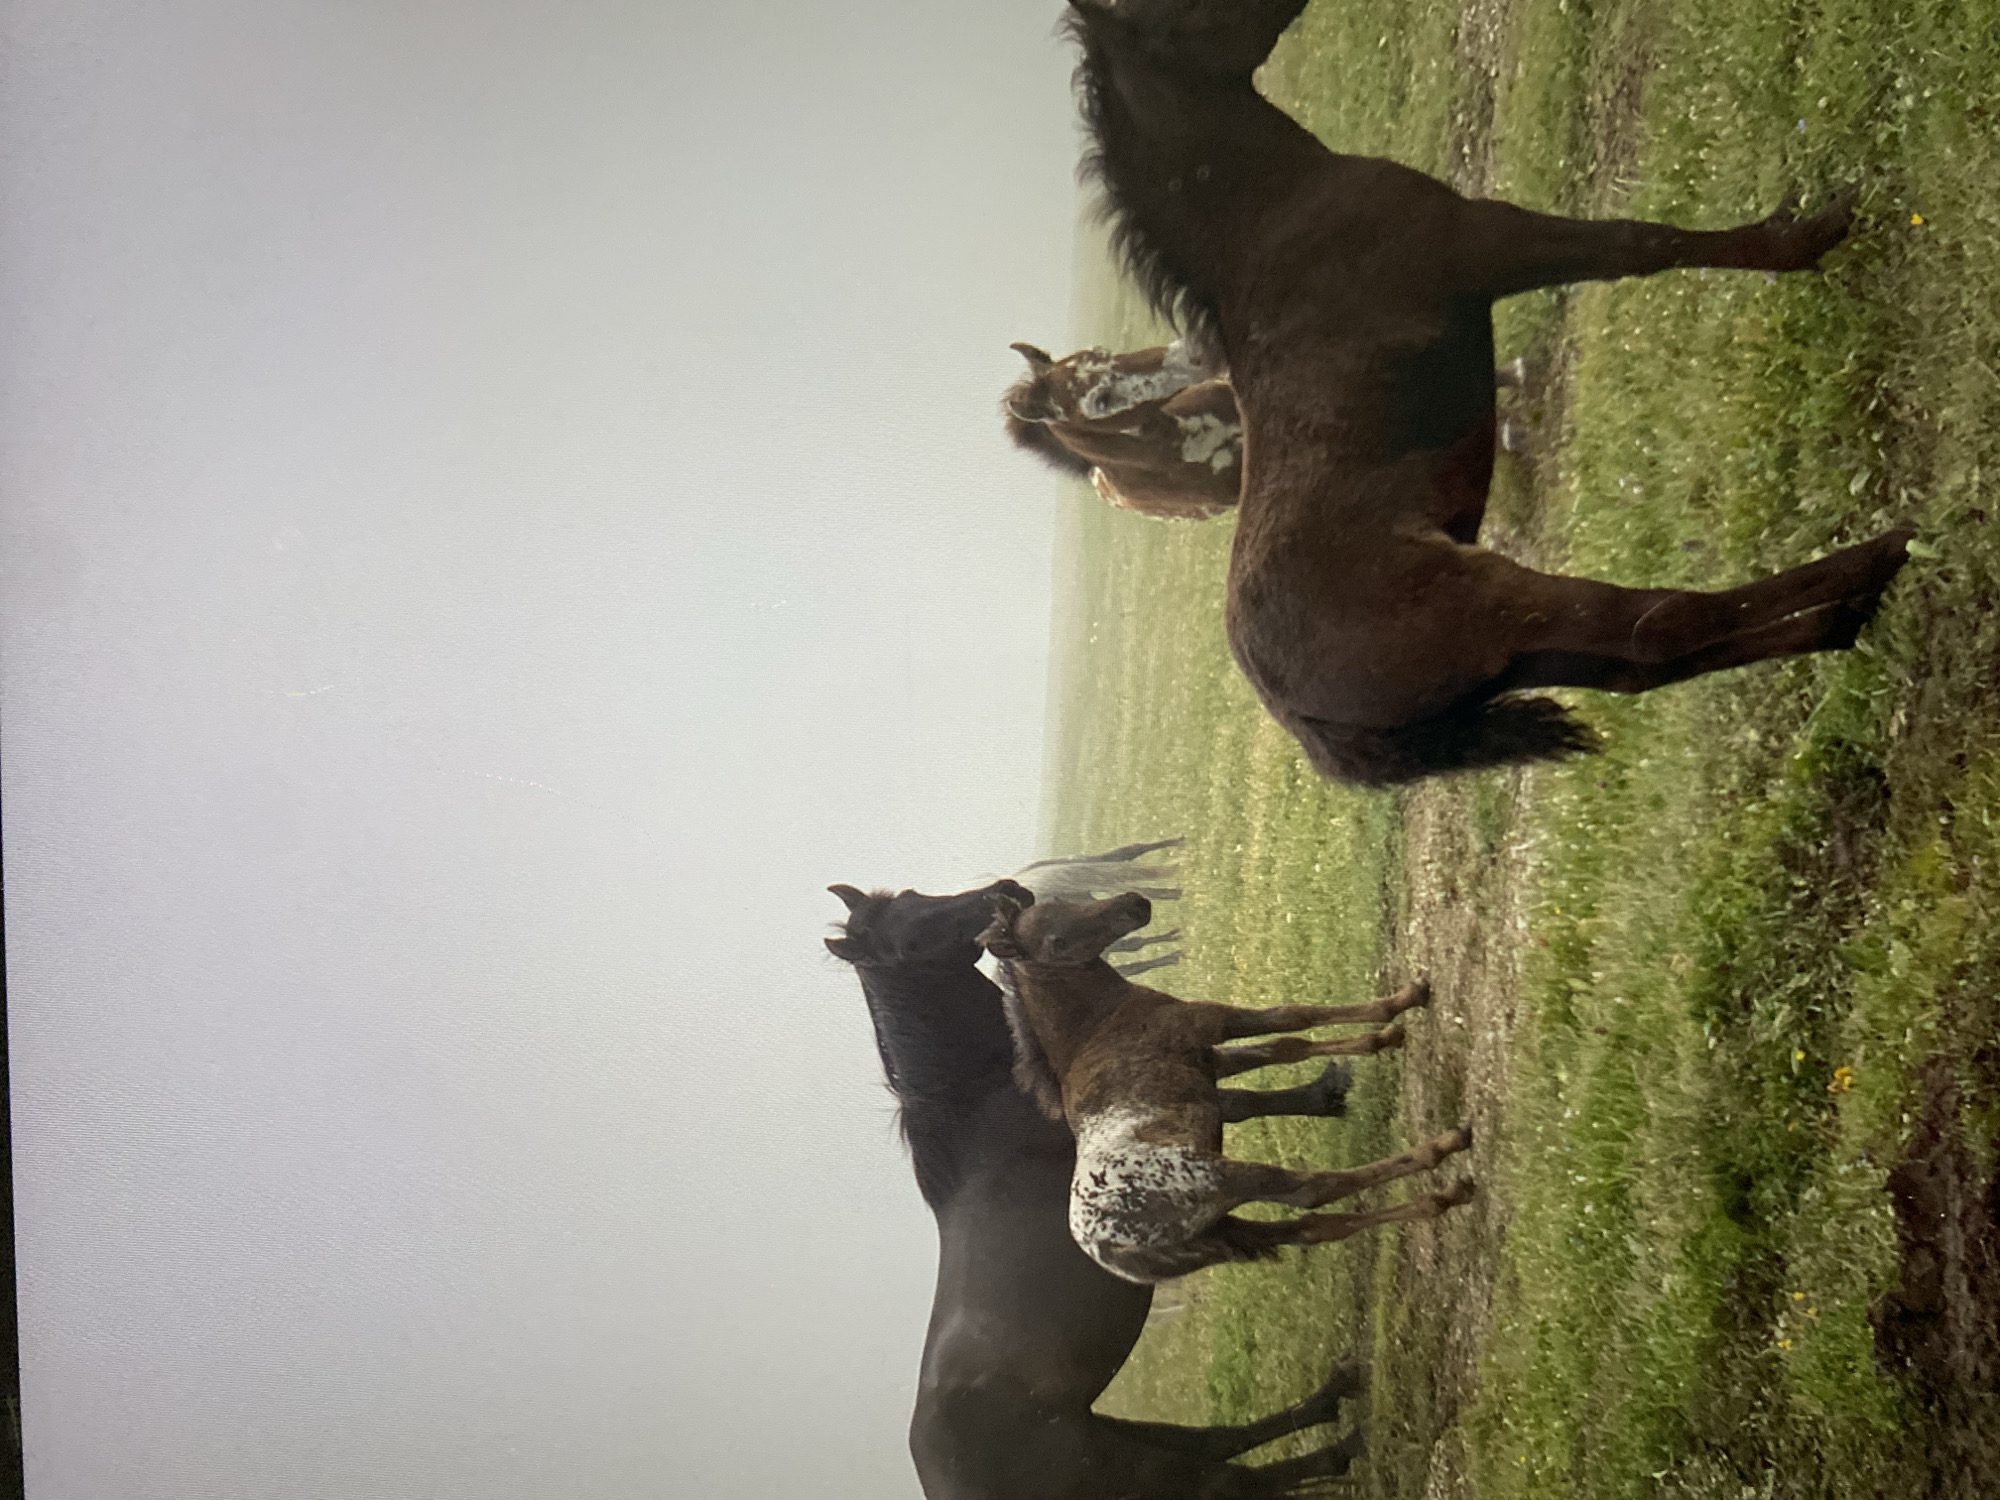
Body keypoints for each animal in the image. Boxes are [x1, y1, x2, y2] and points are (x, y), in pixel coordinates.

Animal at [826, 878, 1368, 1498]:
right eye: (911, 937)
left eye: (914, 895)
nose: (1006, 888)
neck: (987, 1108)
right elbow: (1247, 1094)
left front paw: (1329, 1088)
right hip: (1141, 1468)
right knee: (1231, 1476)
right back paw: (1345, 1442)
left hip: (1124, 1434)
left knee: (1221, 1441)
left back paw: (1336, 1399)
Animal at [979, 892, 1474, 1285]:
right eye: (1055, 942)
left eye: (1062, 901)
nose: (1134, 904)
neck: (1097, 1024)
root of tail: (1109, 1249)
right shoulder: (1210, 1021)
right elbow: (1294, 1018)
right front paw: (1404, 1002)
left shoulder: (1211, 1062)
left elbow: (1284, 1047)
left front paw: (1383, 1037)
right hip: (1223, 1178)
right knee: (1312, 1189)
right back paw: (1444, 1151)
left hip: (1221, 1225)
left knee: (1314, 1228)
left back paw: (1439, 1199)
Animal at [1060, 0, 1915, 785]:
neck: (1275, 217)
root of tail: (1301, 716)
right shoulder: (1488, 242)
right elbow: (1641, 245)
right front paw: (1812, 232)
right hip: (1497, 606)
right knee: (1657, 627)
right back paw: (1877, 561)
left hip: (1515, 657)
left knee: (1640, 663)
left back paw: (1843, 622)